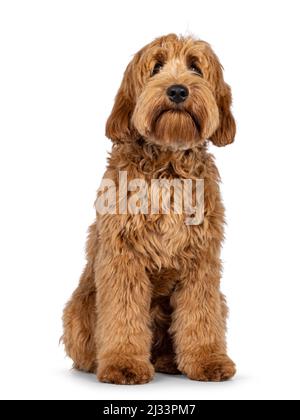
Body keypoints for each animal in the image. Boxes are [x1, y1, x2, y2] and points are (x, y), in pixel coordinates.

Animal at [62, 33, 237, 384]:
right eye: (156, 66)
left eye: (195, 67)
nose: (178, 90)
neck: (167, 166)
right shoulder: (122, 257)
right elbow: (122, 315)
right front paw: (123, 364)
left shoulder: (202, 261)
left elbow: (201, 316)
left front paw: (208, 360)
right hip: (79, 306)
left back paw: (171, 362)